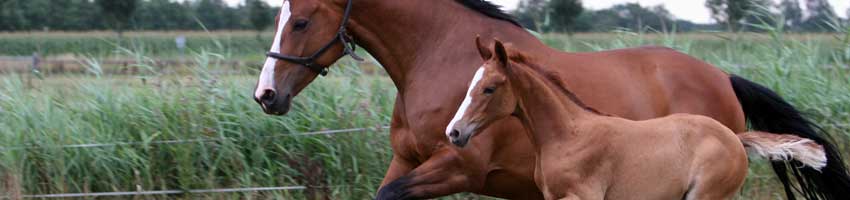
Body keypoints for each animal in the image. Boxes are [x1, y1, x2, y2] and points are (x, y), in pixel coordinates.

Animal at [448, 38, 824, 199]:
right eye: (470, 83)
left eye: (489, 88)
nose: (454, 132)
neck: (568, 135)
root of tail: (735, 136)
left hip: (705, 196)